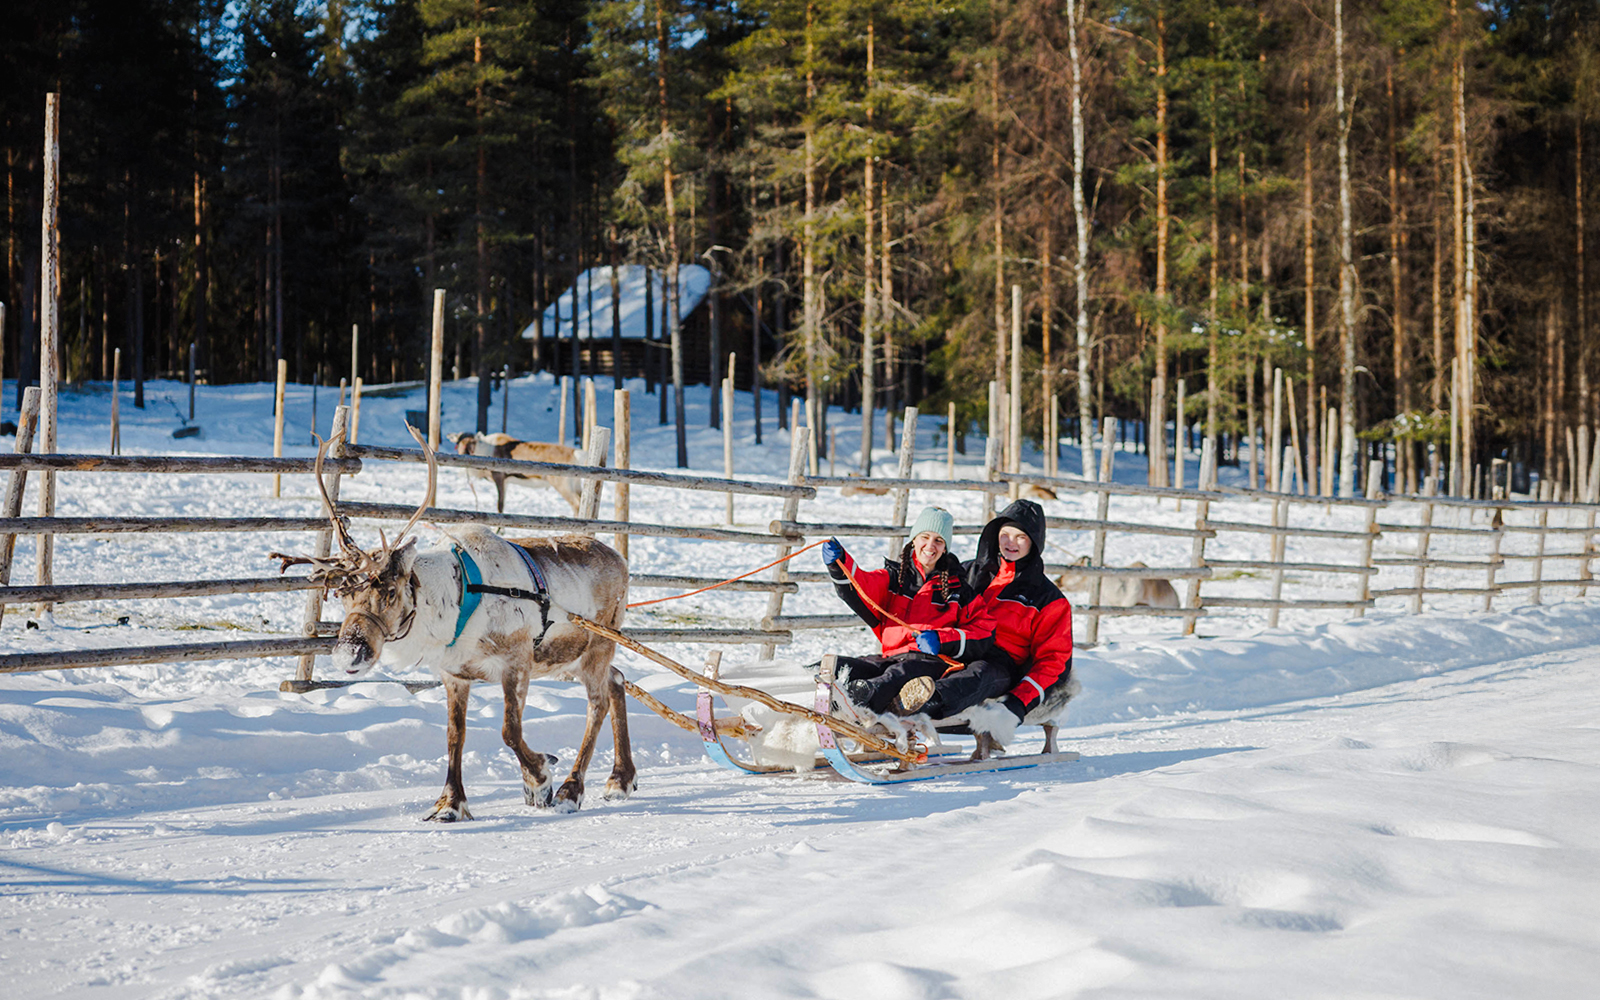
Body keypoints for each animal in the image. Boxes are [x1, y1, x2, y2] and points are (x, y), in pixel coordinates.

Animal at [447, 432, 582, 514]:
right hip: (576, 484)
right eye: (458, 443)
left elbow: (500, 505)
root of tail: (575, 454)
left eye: (472, 442)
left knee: (576, 504)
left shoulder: (499, 477)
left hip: (562, 485)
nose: (463, 453)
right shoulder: (506, 482)